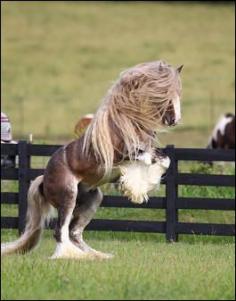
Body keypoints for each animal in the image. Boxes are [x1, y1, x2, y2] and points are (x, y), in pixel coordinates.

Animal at [0, 60, 183, 258]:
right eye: (164, 92)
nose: (175, 120)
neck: (124, 121)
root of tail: (43, 181)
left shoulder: (147, 150)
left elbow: (165, 160)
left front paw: (137, 190)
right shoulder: (124, 153)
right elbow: (147, 159)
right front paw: (133, 187)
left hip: (93, 198)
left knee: (74, 232)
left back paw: (97, 256)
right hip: (68, 197)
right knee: (60, 232)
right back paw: (70, 256)